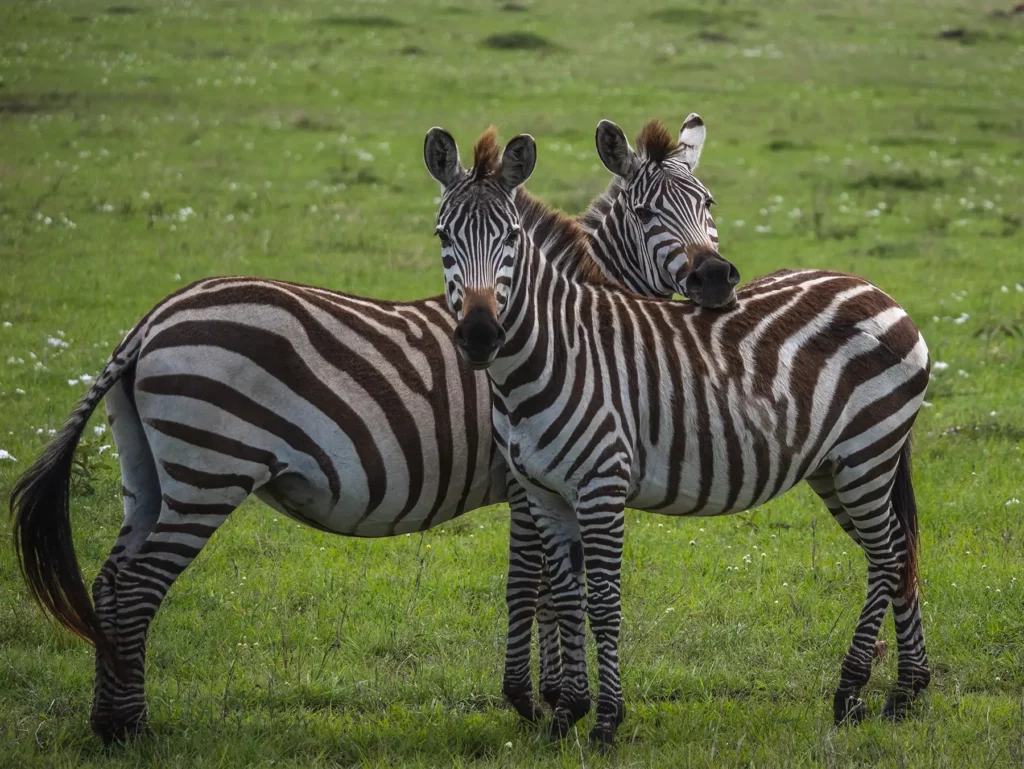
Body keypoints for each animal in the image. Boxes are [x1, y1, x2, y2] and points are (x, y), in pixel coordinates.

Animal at [9, 118, 738, 745]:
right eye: (645, 215)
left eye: (708, 202)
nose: (715, 279)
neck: (565, 325)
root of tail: (150, 321)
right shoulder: (530, 479)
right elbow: (537, 589)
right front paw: (540, 702)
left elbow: (536, 588)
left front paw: (539, 698)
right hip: (209, 472)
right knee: (136, 587)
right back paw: (129, 728)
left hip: (149, 473)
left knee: (111, 581)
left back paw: (109, 720)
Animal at [424, 125, 931, 747]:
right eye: (444, 236)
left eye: (512, 239)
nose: (479, 334)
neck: (548, 354)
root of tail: (874, 288)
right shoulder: (544, 492)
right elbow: (564, 597)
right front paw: (567, 713)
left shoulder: (601, 486)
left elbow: (602, 601)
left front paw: (605, 721)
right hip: (838, 466)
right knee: (896, 550)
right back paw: (905, 691)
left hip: (867, 453)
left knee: (887, 556)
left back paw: (852, 691)